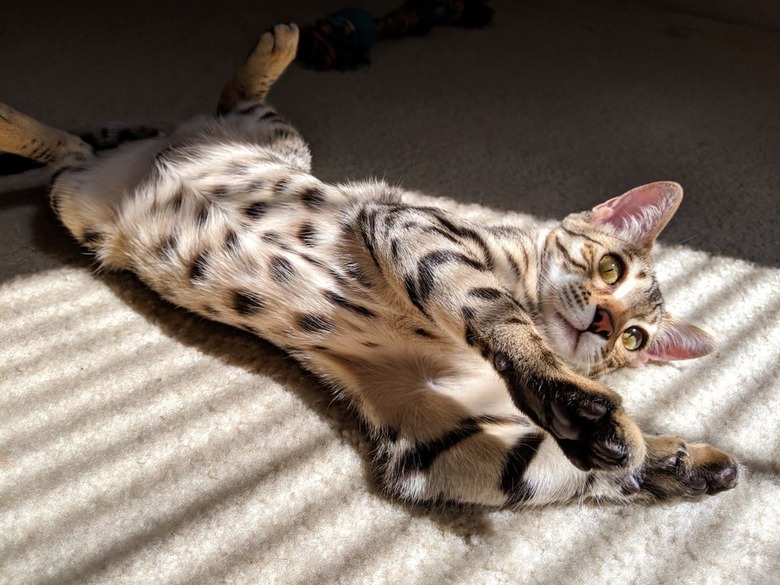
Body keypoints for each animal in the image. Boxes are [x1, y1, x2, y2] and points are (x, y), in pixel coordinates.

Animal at [0, 22, 736, 506]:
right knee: (225, 102)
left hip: (80, 204)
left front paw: (677, 458)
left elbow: (578, 466)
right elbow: (502, 319)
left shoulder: (434, 438)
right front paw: (588, 406)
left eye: (636, 339)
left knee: (68, 147)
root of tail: (152, 147)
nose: (607, 327)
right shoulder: (407, 225)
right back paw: (277, 44)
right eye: (610, 269)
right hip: (263, 139)